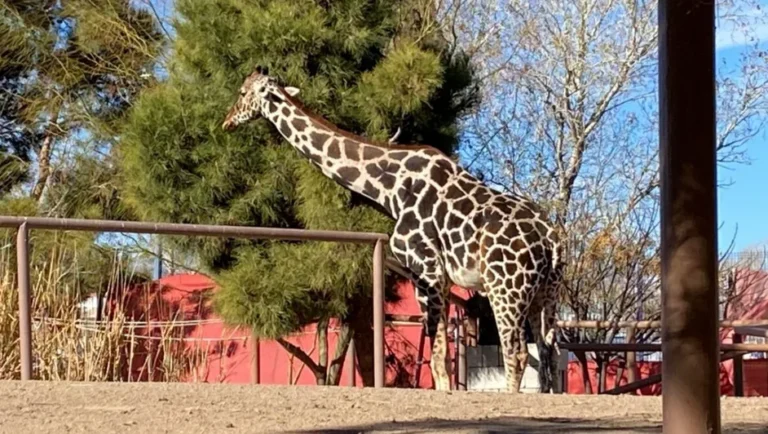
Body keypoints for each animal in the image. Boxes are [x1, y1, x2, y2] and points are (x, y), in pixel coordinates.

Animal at [222, 68, 564, 394]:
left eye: (242, 92)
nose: (227, 122)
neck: (390, 188)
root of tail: (551, 239)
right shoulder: (439, 278)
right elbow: (441, 355)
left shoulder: (425, 268)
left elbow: (437, 358)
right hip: (545, 294)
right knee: (549, 353)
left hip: (505, 289)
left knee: (518, 352)